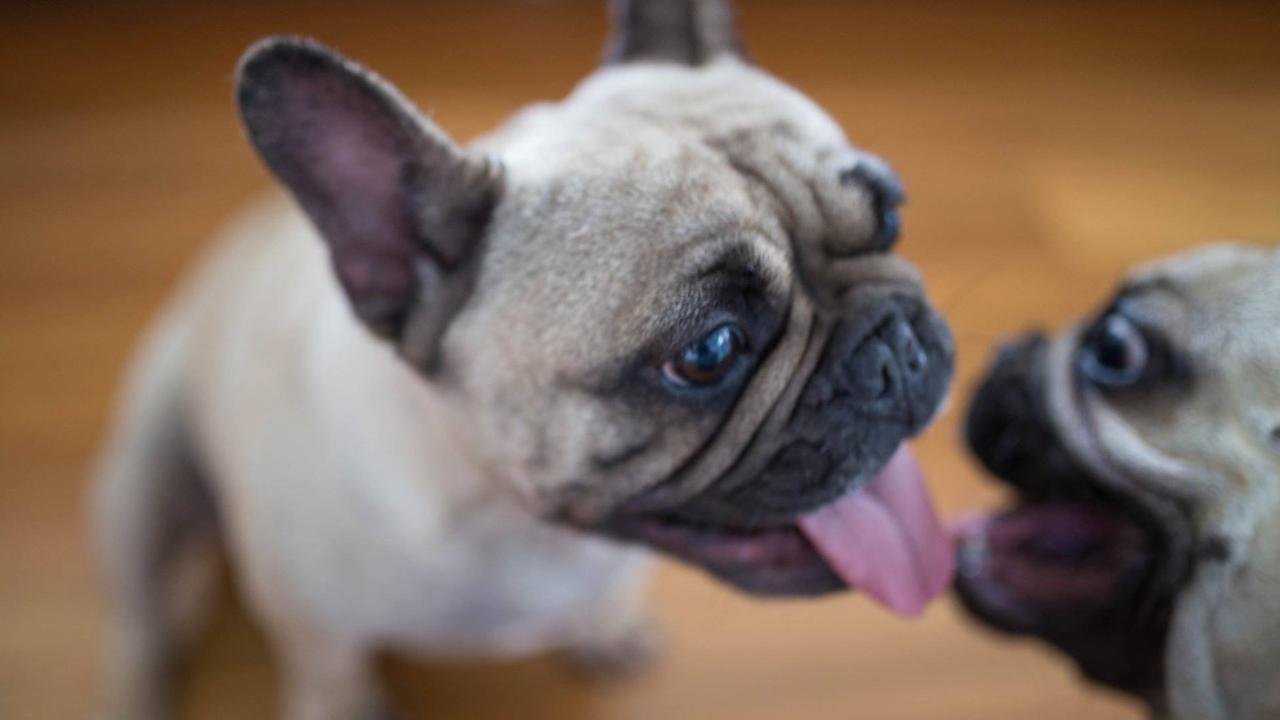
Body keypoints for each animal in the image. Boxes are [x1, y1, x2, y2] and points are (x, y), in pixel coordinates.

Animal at [94, 2, 957, 712]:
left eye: (889, 215)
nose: (896, 345)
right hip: (142, 486)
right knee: (138, 623)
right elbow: (331, 680)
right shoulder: (315, 631)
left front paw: (607, 629)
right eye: (708, 351)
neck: (517, 523)